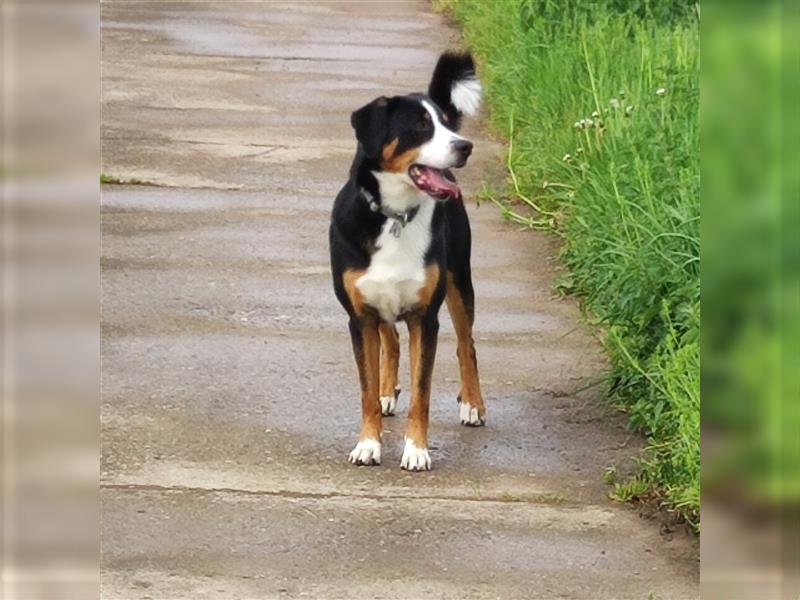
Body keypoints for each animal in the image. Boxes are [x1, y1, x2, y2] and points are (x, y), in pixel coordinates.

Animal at [328, 51, 484, 472]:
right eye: (420, 126)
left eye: (445, 123)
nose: (464, 146)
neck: (396, 217)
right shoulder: (361, 316)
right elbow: (366, 388)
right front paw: (368, 443)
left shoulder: (424, 318)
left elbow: (422, 393)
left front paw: (416, 450)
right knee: (391, 340)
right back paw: (387, 393)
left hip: (459, 282)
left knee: (466, 344)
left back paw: (473, 405)